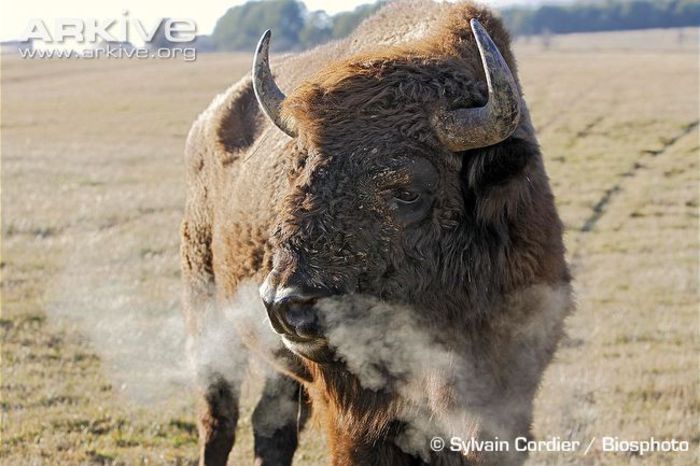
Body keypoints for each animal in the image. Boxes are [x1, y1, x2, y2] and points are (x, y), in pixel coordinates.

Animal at [180, 1, 576, 464]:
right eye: (300, 170)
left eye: (407, 191)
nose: (285, 306)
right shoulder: (355, 416)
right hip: (204, 309)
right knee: (218, 417)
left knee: (270, 425)